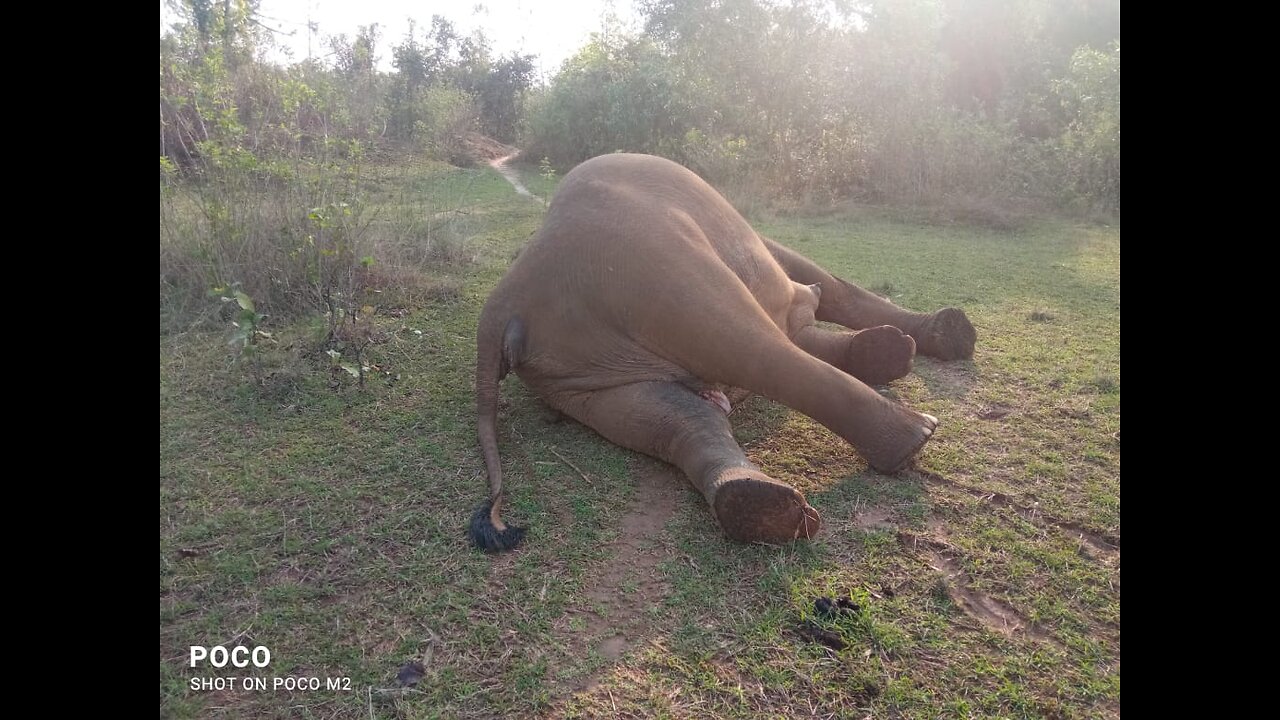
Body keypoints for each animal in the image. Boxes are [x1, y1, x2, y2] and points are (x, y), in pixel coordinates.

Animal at [473, 154, 977, 548]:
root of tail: (505, 303)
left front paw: (894, 350)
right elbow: (821, 290)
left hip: (574, 371)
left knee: (666, 417)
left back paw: (760, 509)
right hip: (654, 271)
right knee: (754, 348)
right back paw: (915, 437)